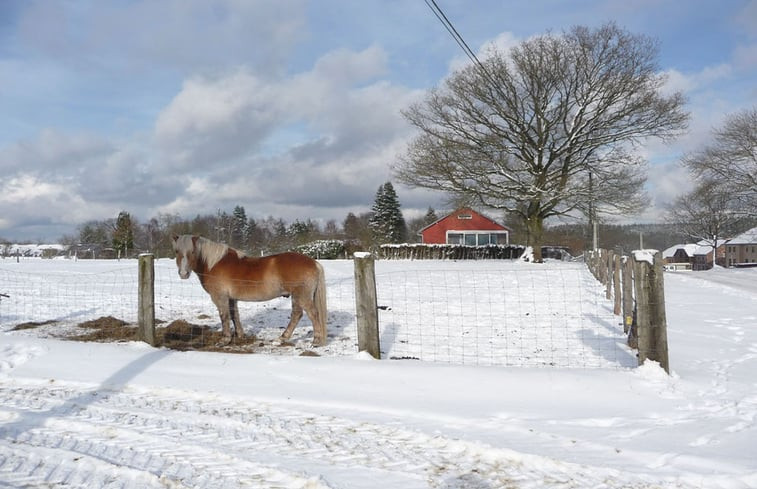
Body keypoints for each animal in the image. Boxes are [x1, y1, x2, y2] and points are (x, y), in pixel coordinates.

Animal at [173, 234, 326, 346]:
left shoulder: (220, 297)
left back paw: (316, 341)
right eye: (177, 251)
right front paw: (240, 335)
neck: (214, 264)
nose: (183, 274)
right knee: (297, 315)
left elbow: (224, 316)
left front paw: (225, 339)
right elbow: (234, 315)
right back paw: (282, 338)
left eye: (192, 251)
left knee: (313, 314)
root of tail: (314, 262)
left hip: (302, 297)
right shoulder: (231, 298)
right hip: (296, 297)